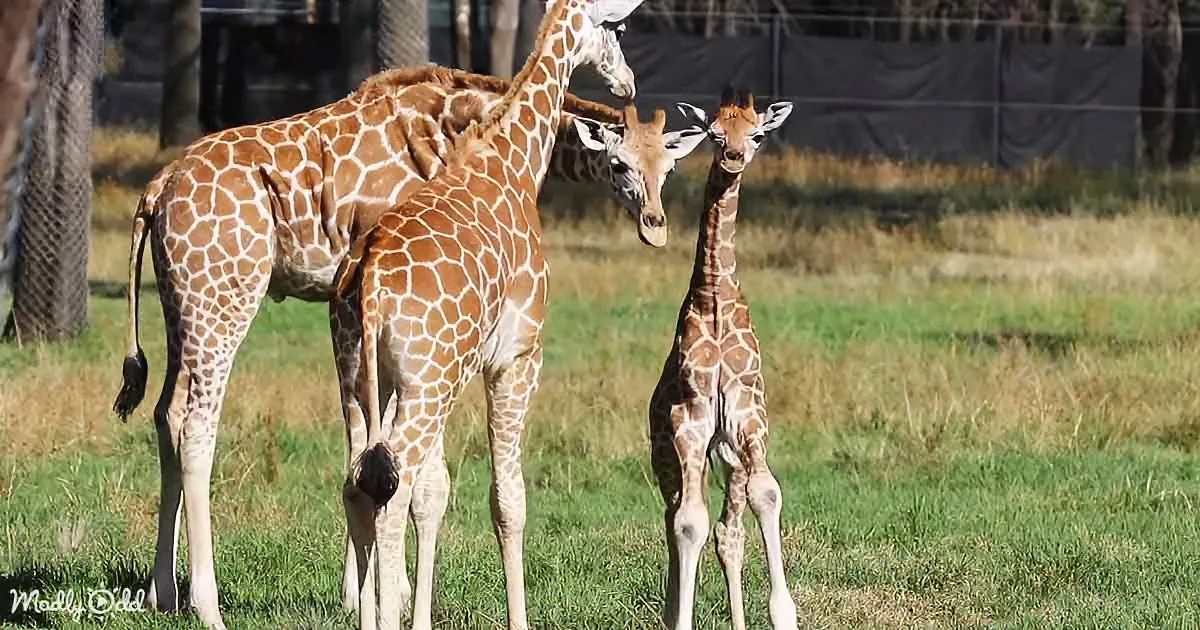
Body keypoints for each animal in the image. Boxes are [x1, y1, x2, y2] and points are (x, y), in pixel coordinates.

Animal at [108, 65, 703, 630]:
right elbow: (392, 463)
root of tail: (155, 191)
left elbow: (370, 451)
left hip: (181, 307)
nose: (655, 224)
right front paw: (380, 596)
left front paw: (367, 595)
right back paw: (206, 605)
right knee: (198, 427)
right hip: (224, 301)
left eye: (667, 168)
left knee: (166, 413)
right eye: (620, 165)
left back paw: (163, 592)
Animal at [332, 0, 651, 627]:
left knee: (360, 483)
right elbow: (508, 499)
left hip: (362, 377)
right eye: (618, 27)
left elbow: (442, 492)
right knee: (391, 489)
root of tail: (371, 278)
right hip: (428, 383)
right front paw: (519, 617)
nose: (627, 79)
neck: (514, 160)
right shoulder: (517, 356)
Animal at [647, 87, 797, 630]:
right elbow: (689, 524)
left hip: (728, 455)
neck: (714, 302)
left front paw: (783, 612)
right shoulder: (689, 421)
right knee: (676, 517)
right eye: (714, 133)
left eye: (756, 134)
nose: (733, 157)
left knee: (729, 531)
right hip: (666, 454)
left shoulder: (749, 417)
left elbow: (766, 495)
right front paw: (681, 616)